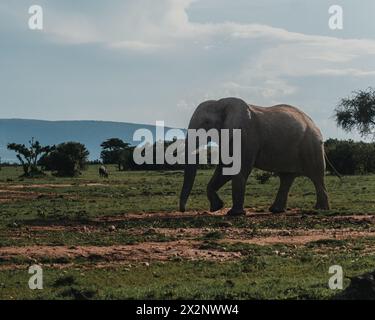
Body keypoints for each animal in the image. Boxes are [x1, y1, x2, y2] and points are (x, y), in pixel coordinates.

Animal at [181, 98, 330, 218]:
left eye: (206, 122)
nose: (183, 210)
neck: (221, 103)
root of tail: (314, 124)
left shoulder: (246, 136)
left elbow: (238, 169)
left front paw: (234, 214)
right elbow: (225, 169)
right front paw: (217, 207)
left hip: (311, 146)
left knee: (316, 176)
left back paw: (320, 209)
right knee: (286, 178)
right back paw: (276, 210)